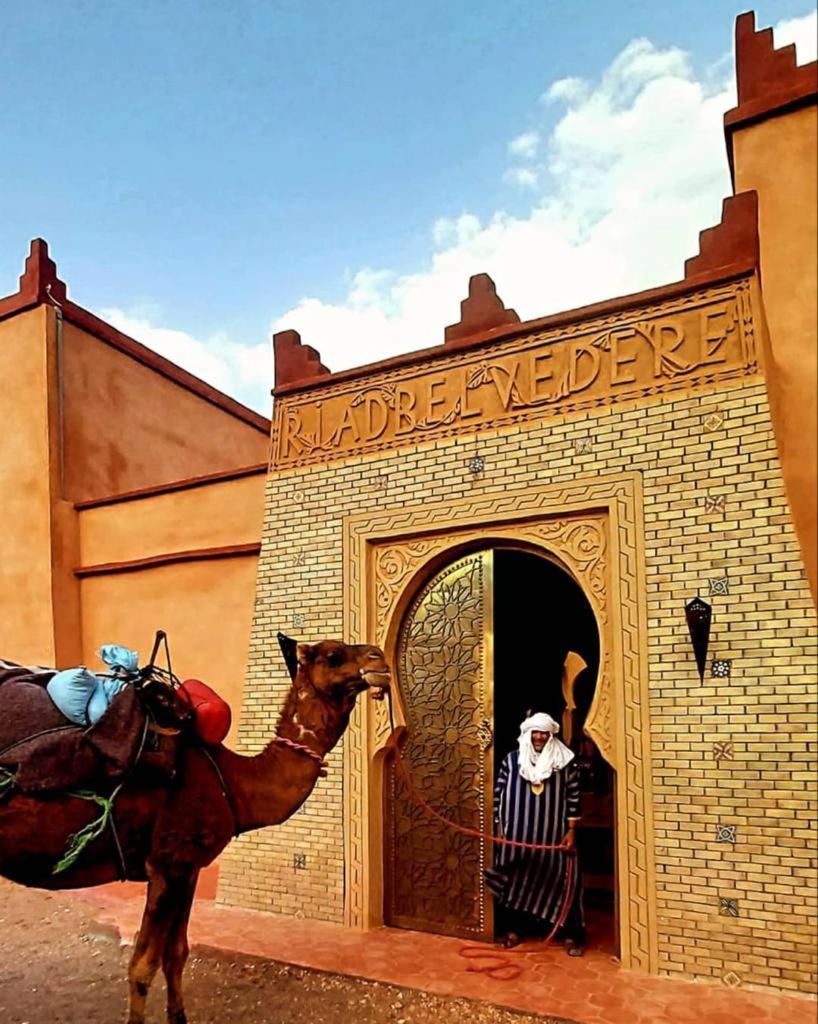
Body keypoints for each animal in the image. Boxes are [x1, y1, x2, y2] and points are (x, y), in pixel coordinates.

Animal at [0, 638, 391, 1024]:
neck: (231, 782)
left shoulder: (189, 867)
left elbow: (177, 953)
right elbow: (142, 966)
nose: (380, 659)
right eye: (334, 654)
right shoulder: (167, 864)